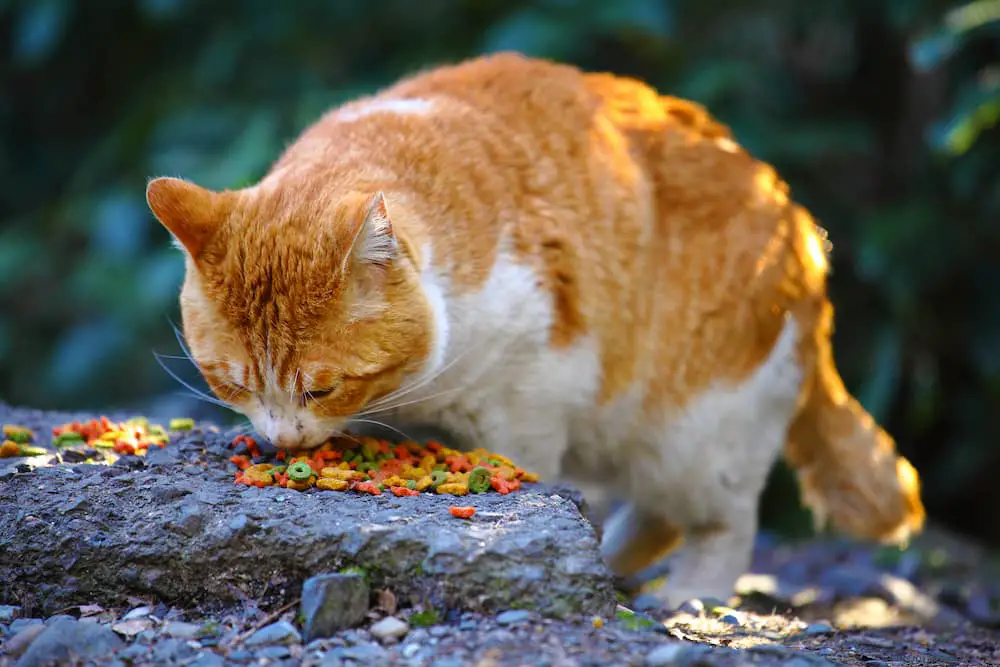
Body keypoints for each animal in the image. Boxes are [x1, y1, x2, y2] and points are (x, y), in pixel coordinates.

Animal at [145, 51, 924, 604]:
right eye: (233, 383)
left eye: (322, 387)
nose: (281, 442)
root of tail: (799, 229)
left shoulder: (527, 404)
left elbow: (522, 464)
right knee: (658, 515)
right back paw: (607, 558)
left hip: (700, 427)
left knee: (719, 521)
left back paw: (688, 593)